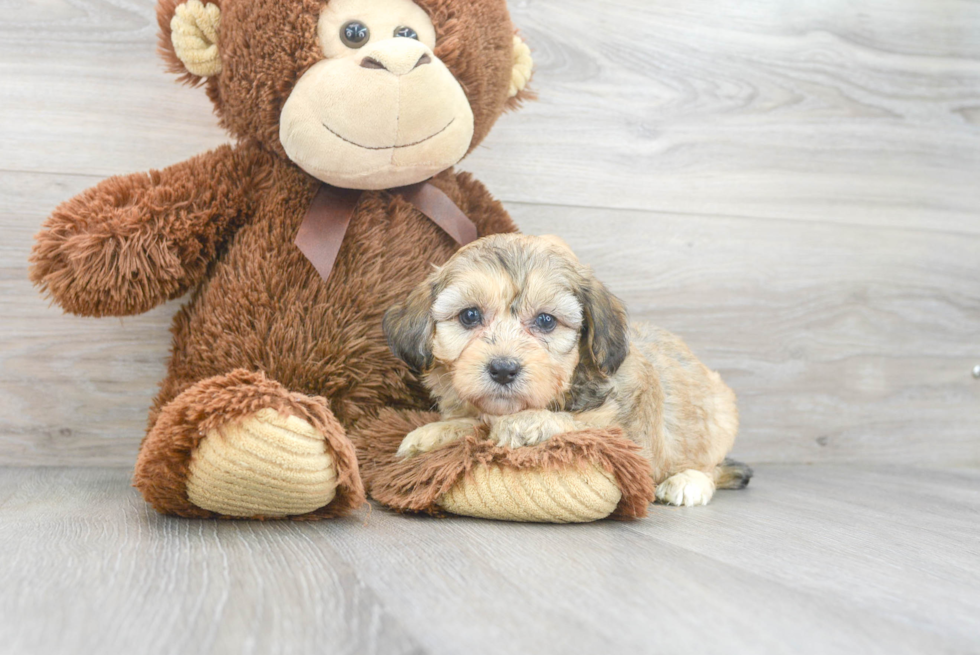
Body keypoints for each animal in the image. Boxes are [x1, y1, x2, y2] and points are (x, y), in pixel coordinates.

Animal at [382, 234, 752, 508]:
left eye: (546, 320)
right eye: (469, 316)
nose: (503, 369)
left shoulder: (631, 437)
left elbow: (583, 425)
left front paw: (527, 423)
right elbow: (475, 420)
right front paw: (431, 433)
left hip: (718, 416)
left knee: (711, 466)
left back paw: (687, 483)